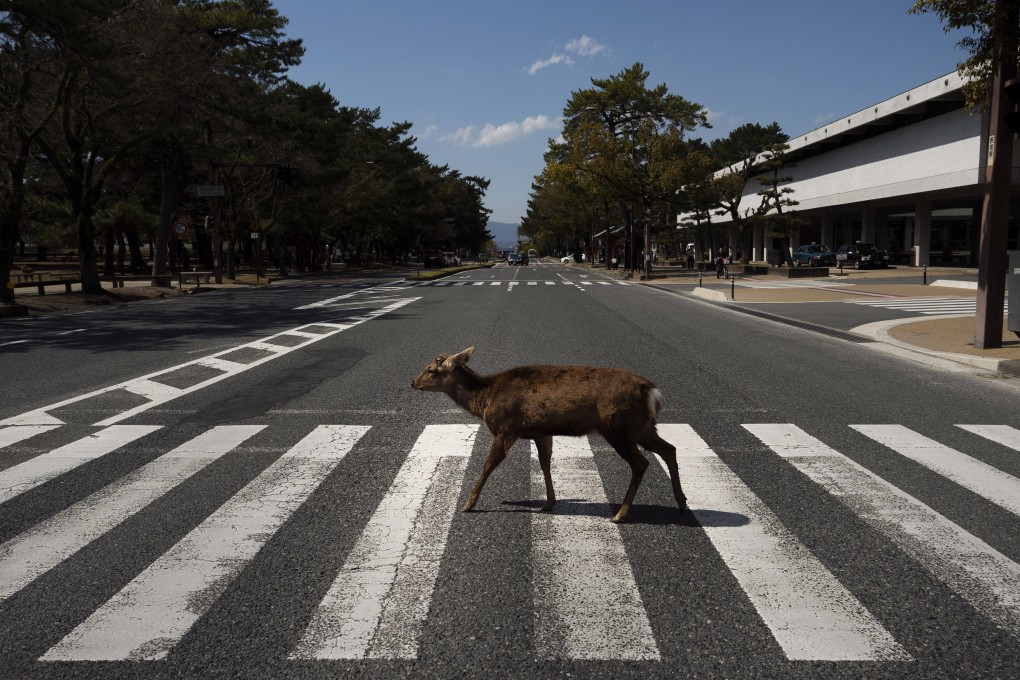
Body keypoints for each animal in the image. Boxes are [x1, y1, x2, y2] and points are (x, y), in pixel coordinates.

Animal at [411, 346, 686, 523]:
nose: (413, 382)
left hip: (618, 427)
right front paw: (549, 502)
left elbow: (488, 465)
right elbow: (545, 464)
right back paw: (682, 502)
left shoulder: (506, 428)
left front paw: (468, 504)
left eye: (432, 370)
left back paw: (620, 514)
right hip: (642, 427)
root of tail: (651, 392)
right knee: (669, 449)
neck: (485, 399)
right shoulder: (540, 432)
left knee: (641, 463)